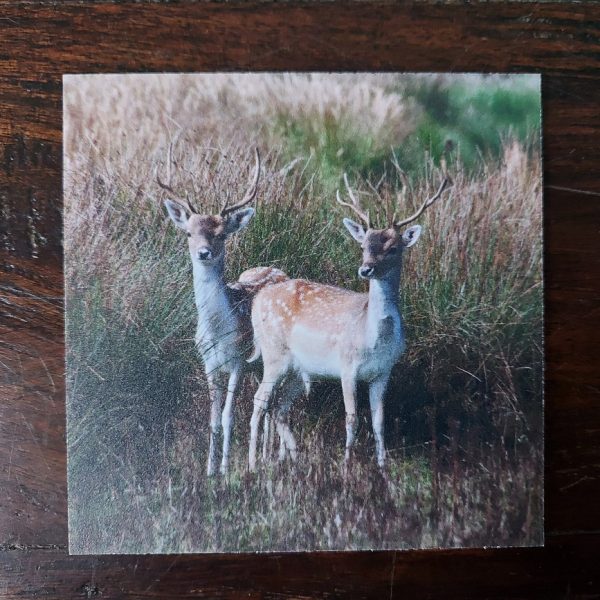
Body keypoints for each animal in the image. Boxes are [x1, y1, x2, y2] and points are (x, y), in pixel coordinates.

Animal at [162, 148, 288, 476]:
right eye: (189, 233)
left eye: (221, 234)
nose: (203, 252)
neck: (219, 331)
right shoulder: (208, 363)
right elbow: (214, 420)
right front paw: (208, 470)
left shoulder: (237, 362)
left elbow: (230, 417)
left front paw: (225, 468)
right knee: (267, 404)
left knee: (274, 402)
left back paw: (270, 457)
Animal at [247, 169, 450, 468]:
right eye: (363, 245)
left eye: (393, 248)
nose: (366, 269)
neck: (373, 337)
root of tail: (258, 299)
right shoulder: (347, 366)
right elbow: (352, 419)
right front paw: (346, 465)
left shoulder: (383, 372)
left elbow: (379, 422)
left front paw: (382, 467)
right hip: (274, 355)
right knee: (259, 400)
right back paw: (250, 464)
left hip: (298, 369)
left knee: (279, 408)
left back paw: (291, 459)